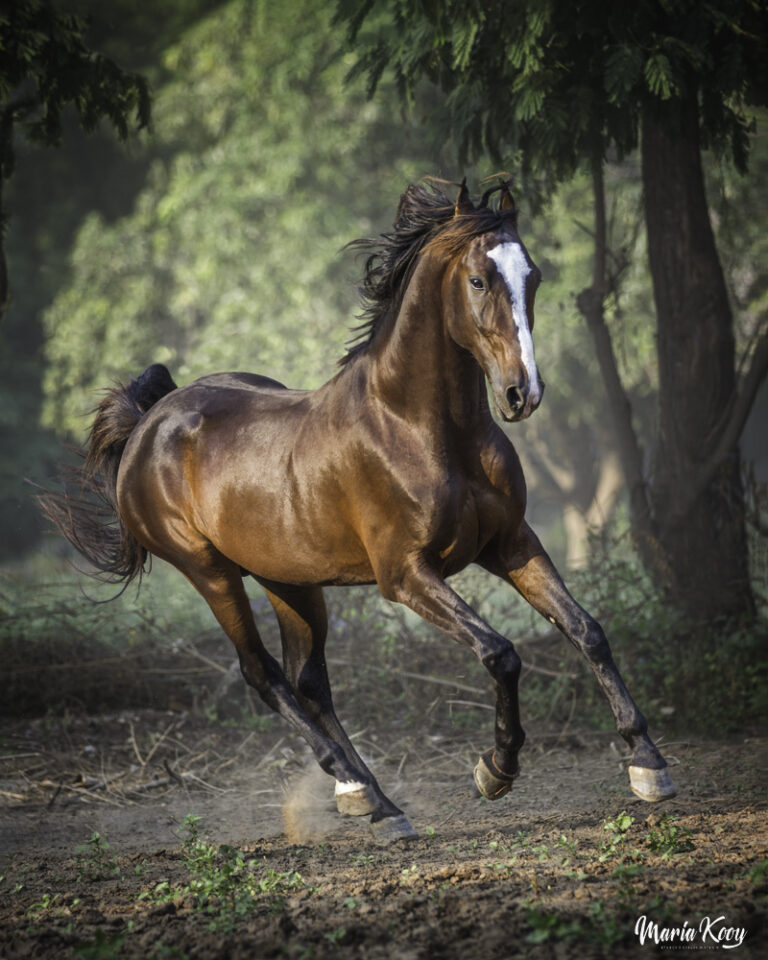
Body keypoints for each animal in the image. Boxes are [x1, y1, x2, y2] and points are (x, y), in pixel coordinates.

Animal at [40, 178, 675, 842]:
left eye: (535, 276)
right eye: (478, 280)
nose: (521, 394)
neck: (420, 428)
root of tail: (148, 423)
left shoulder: (511, 543)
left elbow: (587, 630)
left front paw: (648, 766)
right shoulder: (406, 575)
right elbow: (500, 653)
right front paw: (495, 769)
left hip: (288, 578)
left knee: (308, 680)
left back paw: (370, 798)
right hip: (208, 571)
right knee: (262, 673)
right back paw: (365, 793)